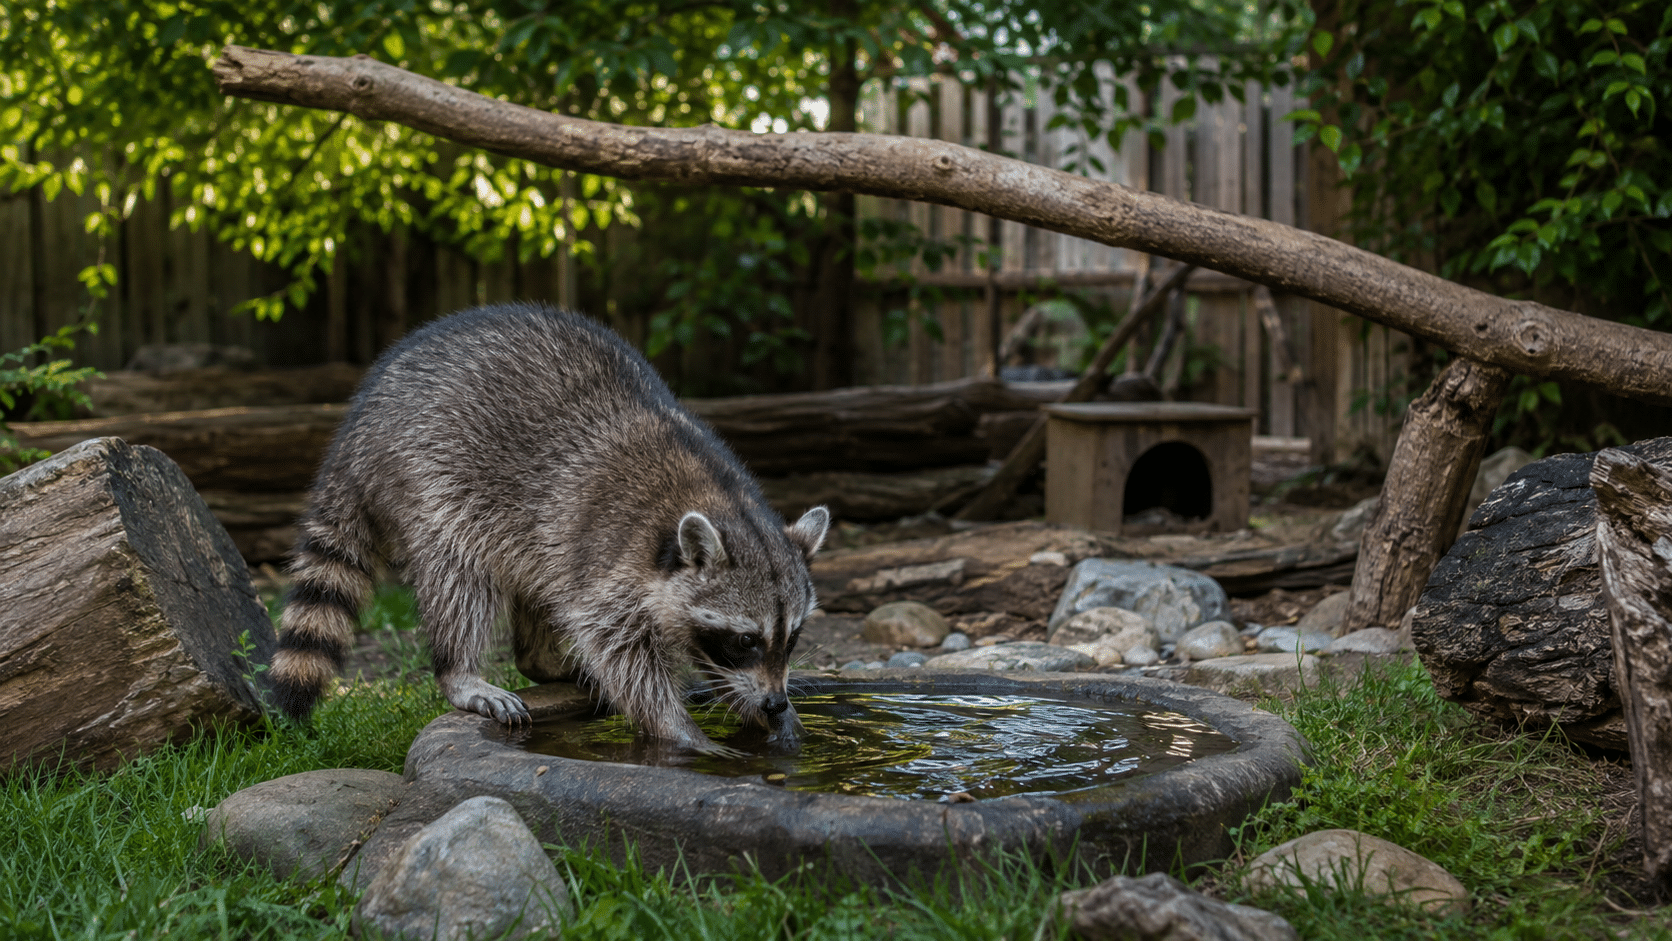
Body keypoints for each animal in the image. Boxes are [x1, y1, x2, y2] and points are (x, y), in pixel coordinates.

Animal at [268, 302, 829, 751]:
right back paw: (459, 669)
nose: (776, 702)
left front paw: (757, 710)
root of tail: (358, 426)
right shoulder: (609, 553)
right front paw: (679, 728)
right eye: (746, 640)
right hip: (429, 477)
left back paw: (541, 660)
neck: (718, 497)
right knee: (460, 573)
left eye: (793, 638)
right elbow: (618, 648)